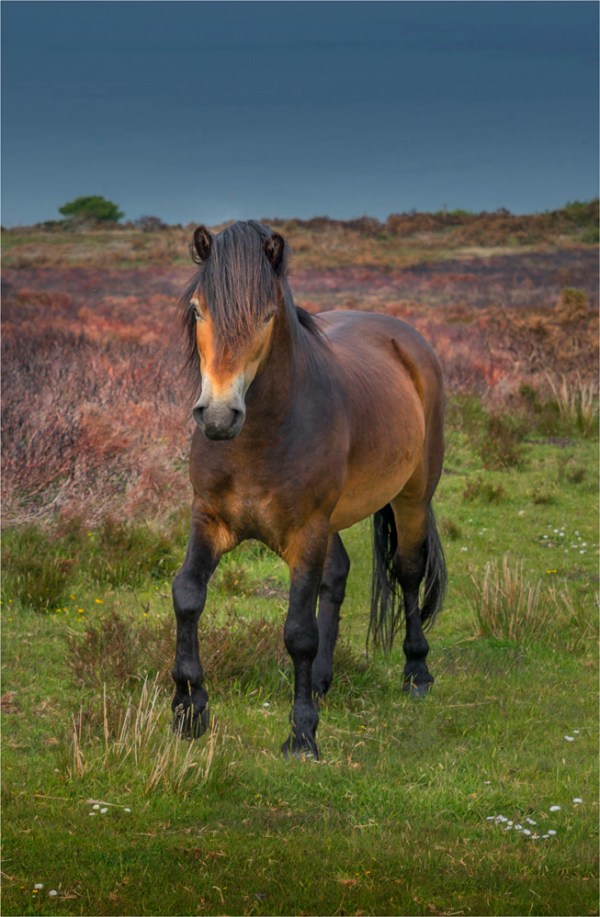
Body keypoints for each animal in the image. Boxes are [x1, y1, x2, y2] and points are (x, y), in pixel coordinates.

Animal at [172, 220, 446, 759]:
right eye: (197, 310)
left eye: (266, 316)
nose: (218, 415)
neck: (257, 439)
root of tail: (408, 340)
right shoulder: (209, 518)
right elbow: (188, 595)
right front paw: (188, 709)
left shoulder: (305, 533)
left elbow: (299, 631)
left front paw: (301, 736)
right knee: (336, 576)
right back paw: (320, 681)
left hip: (411, 498)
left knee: (406, 572)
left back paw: (417, 671)